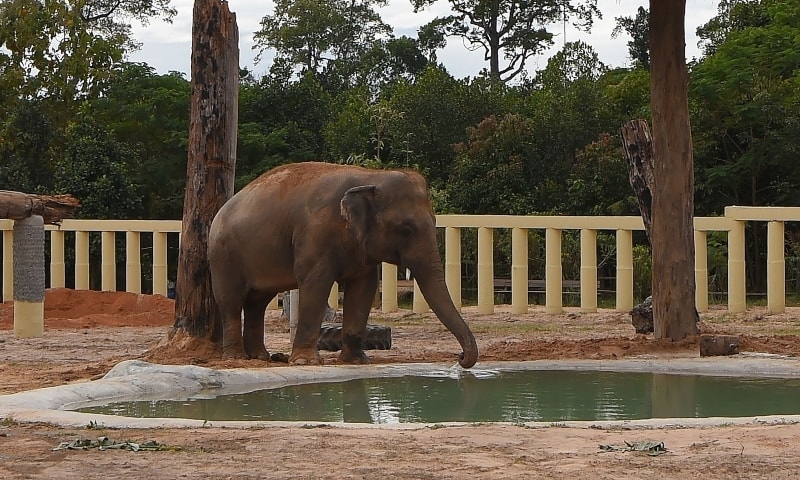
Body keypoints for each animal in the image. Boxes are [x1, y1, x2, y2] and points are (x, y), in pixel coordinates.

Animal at [209, 161, 478, 368]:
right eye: (406, 230)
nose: (460, 357)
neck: (371, 176)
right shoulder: (314, 235)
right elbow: (315, 285)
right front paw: (306, 362)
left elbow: (363, 289)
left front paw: (357, 361)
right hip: (223, 255)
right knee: (231, 301)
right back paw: (236, 359)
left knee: (258, 302)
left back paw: (261, 357)